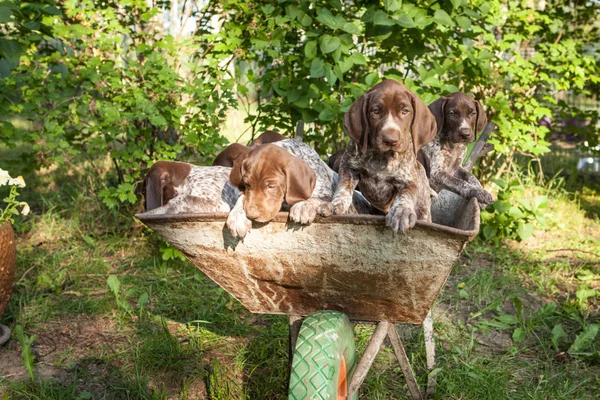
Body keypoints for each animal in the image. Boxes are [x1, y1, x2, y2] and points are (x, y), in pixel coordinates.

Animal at [330, 79, 438, 233]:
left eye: (405, 111)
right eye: (376, 111)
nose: (391, 140)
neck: (381, 157)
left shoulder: (409, 181)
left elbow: (405, 196)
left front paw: (401, 211)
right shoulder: (348, 166)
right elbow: (344, 187)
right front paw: (336, 204)